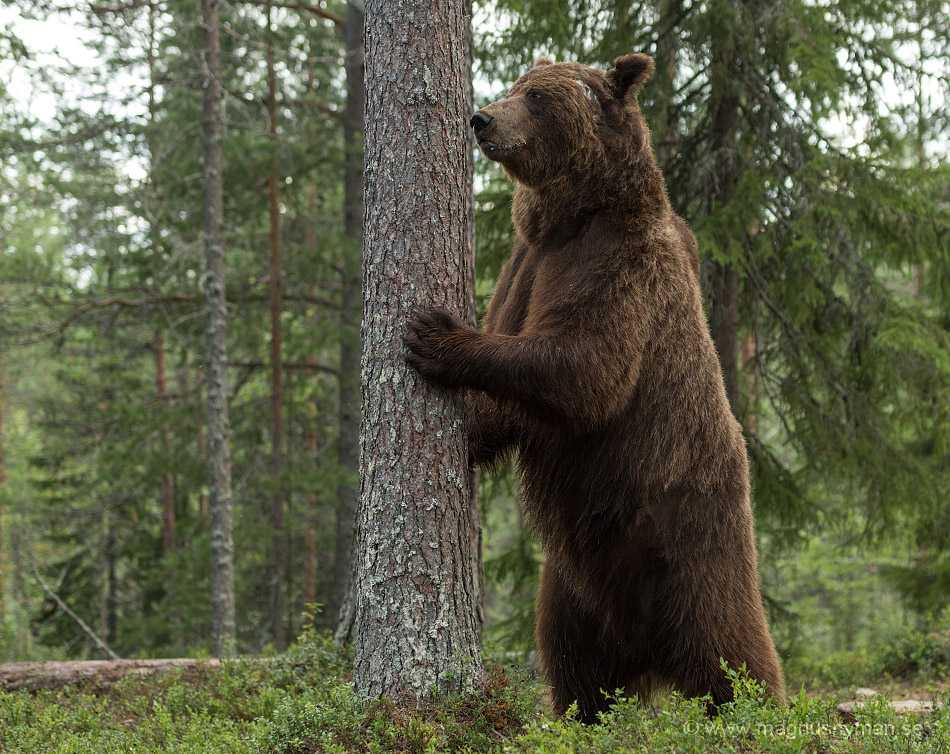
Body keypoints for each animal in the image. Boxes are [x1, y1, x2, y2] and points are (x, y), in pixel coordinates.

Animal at [406, 53, 784, 724]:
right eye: (519, 88)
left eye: (536, 97)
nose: (482, 118)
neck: (571, 217)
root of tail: (648, 652)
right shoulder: (527, 266)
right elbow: (508, 403)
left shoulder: (620, 267)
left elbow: (585, 367)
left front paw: (436, 335)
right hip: (572, 584)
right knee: (573, 659)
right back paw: (583, 714)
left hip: (693, 539)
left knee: (729, 646)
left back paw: (762, 710)